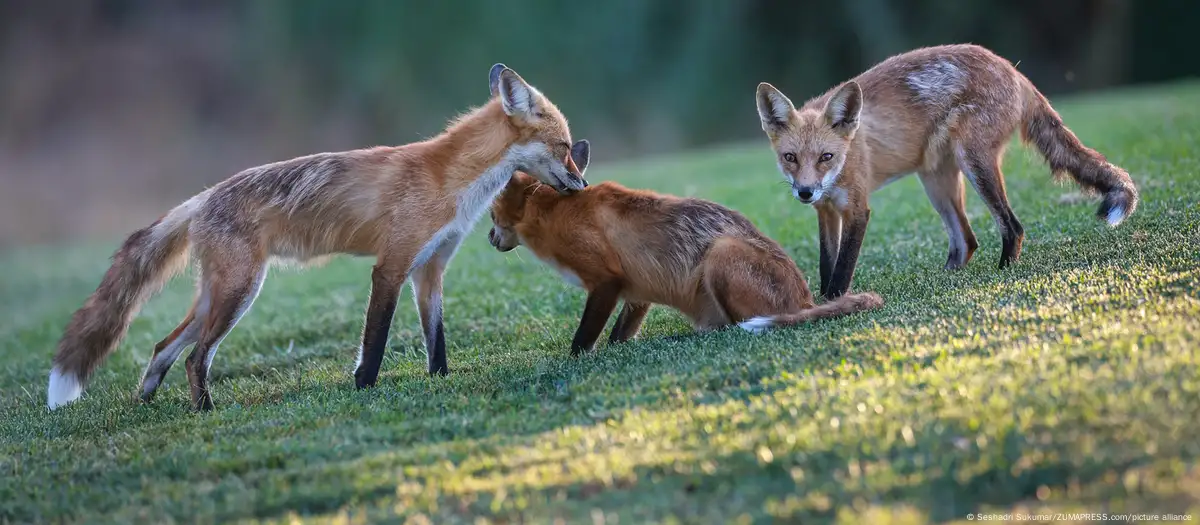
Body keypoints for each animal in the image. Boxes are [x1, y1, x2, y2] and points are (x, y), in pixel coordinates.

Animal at [482, 141, 888, 350]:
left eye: (490, 213)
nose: (489, 238)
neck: (559, 214)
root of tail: (806, 301)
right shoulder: (637, 291)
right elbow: (618, 337)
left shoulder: (606, 282)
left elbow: (582, 342)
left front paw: (573, 361)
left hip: (720, 255)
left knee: (737, 326)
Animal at [753, 44, 1137, 299]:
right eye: (790, 157)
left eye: (826, 157)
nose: (805, 191)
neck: (844, 163)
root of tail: (1011, 68)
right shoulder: (826, 211)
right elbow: (826, 263)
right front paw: (821, 299)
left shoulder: (857, 209)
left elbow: (842, 267)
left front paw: (832, 303)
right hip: (936, 183)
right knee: (967, 240)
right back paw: (949, 276)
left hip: (975, 165)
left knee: (1012, 227)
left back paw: (1002, 271)